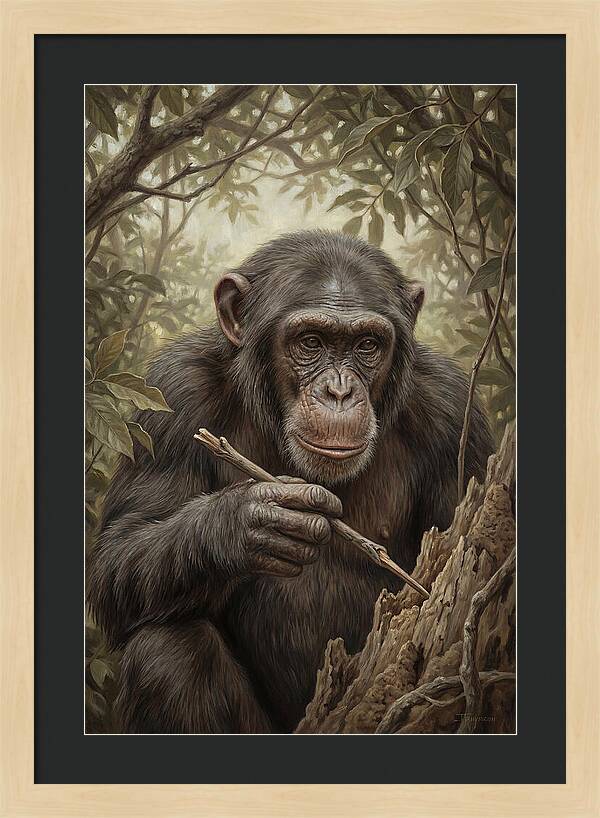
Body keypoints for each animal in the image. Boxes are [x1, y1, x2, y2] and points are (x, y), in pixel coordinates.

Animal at [87, 230, 493, 733]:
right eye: (311, 342)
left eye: (367, 345)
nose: (339, 391)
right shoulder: (173, 393)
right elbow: (118, 554)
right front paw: (248, 523)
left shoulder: (455, 415)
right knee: (167, 649)